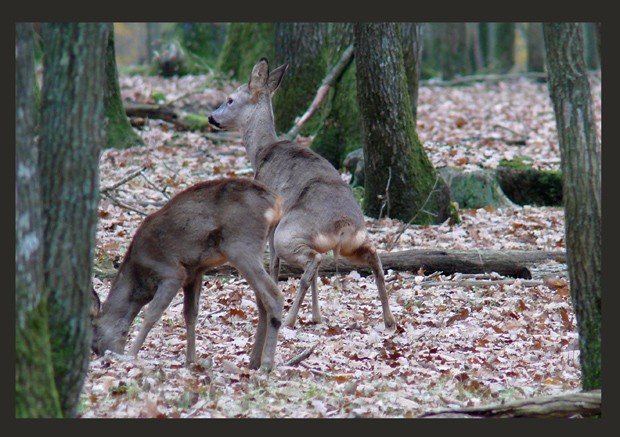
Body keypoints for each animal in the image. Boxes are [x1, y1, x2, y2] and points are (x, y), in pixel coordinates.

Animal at [91, 177, 284, 372]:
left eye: (94, 339)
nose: (106, 359)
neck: (139, 276)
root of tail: (276, 203)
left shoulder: (172, 272)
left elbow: (152, 314)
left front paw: (131, 356)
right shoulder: (194, 272)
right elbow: (190, 313)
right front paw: (191, 361)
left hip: (241, 244)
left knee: (274, 295)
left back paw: (266, 364)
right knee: (262, 301)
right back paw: (254, 361)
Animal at [209, 58, 398, 330]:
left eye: (230, 99)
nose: (212, 117)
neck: (261, 153)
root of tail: (343, 224)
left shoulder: (271, 215)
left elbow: (273, 263)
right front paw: (317, 315)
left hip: (289, 231)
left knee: (313, 262)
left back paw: (288, 319)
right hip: (351, 243)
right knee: (372, 256)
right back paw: (389, 319)